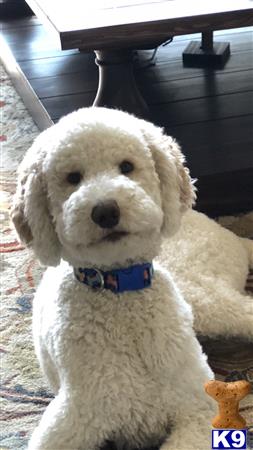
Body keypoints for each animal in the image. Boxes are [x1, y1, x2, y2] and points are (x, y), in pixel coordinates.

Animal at [12, 108, 241, 450]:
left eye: (126, 167)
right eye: (73, 178)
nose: (105, 210)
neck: (120, 291)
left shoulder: (199, 410)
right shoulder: (72, 421)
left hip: (207, 303)